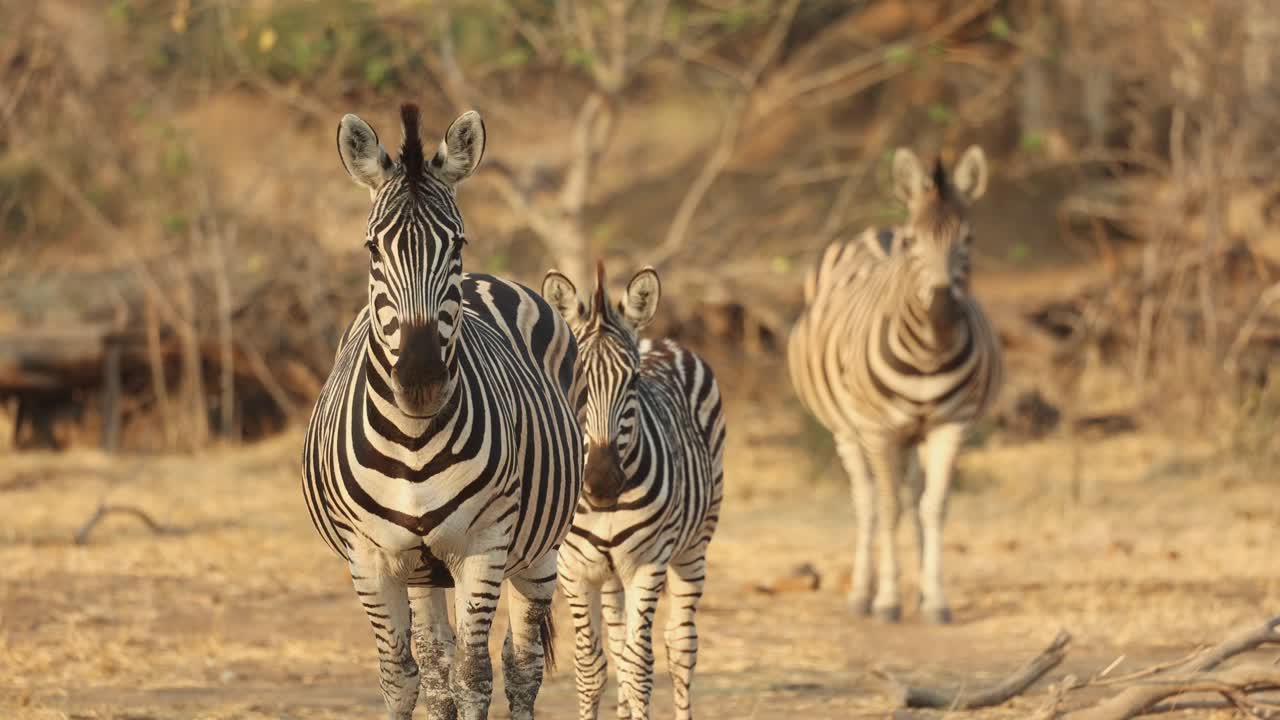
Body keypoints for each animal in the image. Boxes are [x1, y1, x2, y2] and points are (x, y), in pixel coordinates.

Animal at [301, 103, 583, 720]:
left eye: (456, 243)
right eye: (372, 250)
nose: (421, 381)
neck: (413, 439)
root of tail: (490, 278)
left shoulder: (483, 547)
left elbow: (474, 676)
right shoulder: (371, 559)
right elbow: (400, 679)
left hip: (538, 552)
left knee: (520, 665)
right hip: (423, 569)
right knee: (433, 669)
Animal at [540, 262, 726, 720]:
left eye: (635, 380)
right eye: (573, 379)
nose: (602, 481)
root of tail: (657, 339)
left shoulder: (648, 564)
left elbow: (640, 665)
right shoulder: (573, 569)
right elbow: (592, 668)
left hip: (694, 547)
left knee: (680, 647)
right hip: (608, 573)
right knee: (619, 642)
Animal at [787, 146, 1003, 624]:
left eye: (969, 238)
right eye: (912, 243)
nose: (942, 309)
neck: (928, 355)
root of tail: (877, 230)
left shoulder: (949, 427)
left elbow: (934, 508)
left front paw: (935, 598)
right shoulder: (879, 430)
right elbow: (887, 511)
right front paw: (886, 600)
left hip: (912, 436)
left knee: (913, 498)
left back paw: (918, 590)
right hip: (848, 431)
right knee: (868, 503)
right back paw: (861, 594)